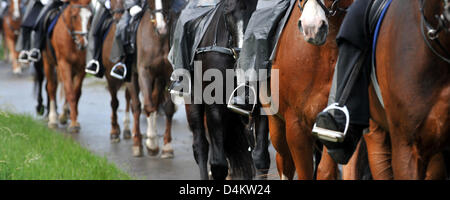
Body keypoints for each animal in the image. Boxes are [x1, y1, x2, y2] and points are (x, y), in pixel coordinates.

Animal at [42, 0, 92, 134]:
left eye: (90, 17)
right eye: (74, 16)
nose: (83, 43)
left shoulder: (81, 68)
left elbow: (75, 92)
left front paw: (72, 119)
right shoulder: (64, 64)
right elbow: (69, 91)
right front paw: (73, 124)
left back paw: (64, 114)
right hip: (48, 62)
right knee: (51, 87)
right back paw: (53, 118)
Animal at [126, 0, 176, 159]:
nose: (161, 28)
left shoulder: (169, 74)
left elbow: (169, 108)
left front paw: (167, 147)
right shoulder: (144, 72)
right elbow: (147, 105)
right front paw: (152, 143)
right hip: (132, 77)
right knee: (136, 106)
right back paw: (137, 143)